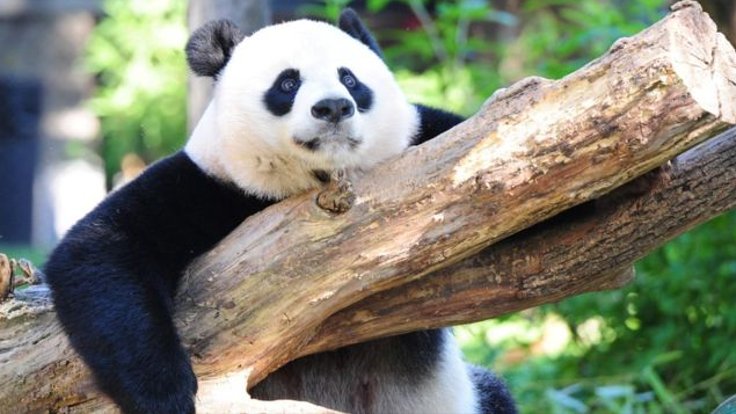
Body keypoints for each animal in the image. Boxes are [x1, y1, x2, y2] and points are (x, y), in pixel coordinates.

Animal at [45, 9, 516, 414]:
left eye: (350, 78)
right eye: (287, 84)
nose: (333, 107)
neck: (316, 179)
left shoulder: (427, 140)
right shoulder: (209, 185)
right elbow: (101, 249)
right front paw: (166, 394)